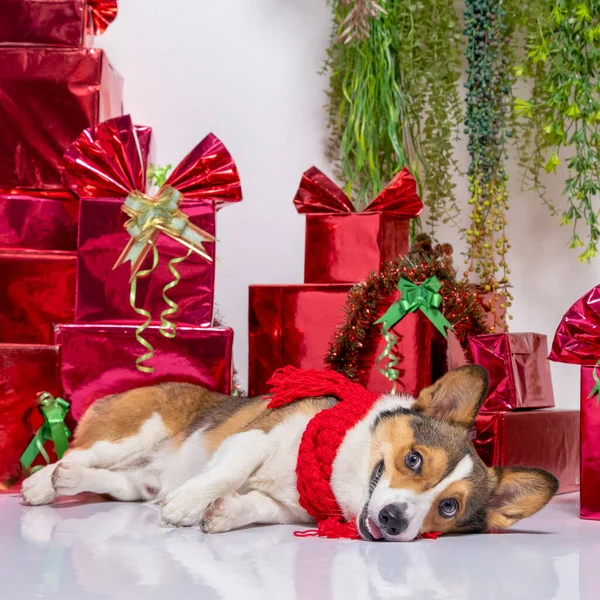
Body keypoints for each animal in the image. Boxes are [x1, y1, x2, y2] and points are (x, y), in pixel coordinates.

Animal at [22, 364, 556, 540]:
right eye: (414, 460)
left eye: (448, 508)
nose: (393, 522)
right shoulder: (259, 436)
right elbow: (229, 470)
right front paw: (190, 505)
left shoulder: (290, 508)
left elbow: (256, 506)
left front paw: (222, 513)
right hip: (134, 431)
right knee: (78, 455)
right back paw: (41, 482)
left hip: (139, 479)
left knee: (117, 481)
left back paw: (67, 481)